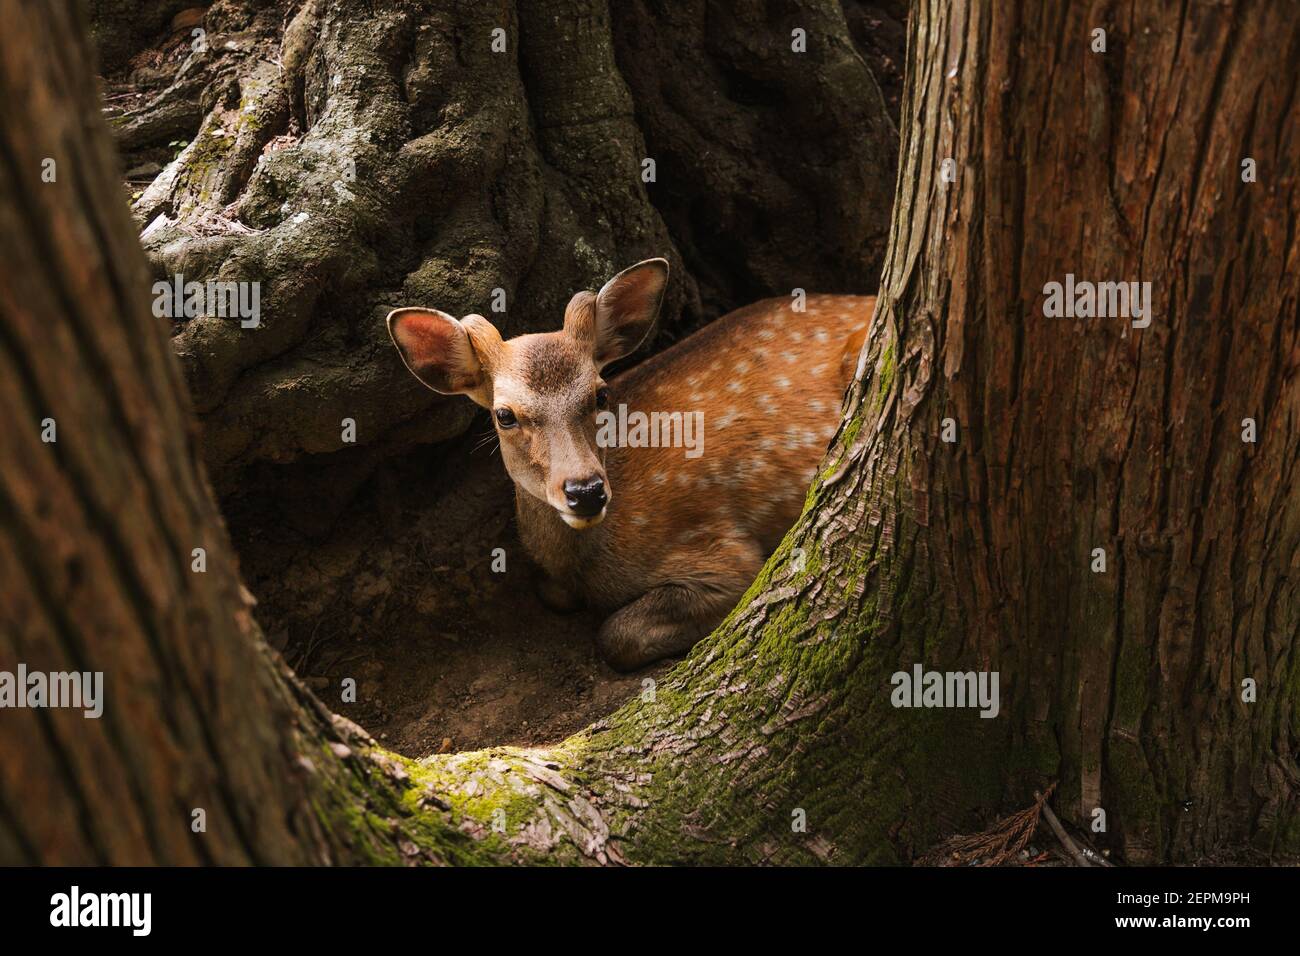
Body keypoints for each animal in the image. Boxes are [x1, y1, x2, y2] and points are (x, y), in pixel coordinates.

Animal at [387, 259, 874, 670]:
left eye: (601, 393)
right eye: (504, 415)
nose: (585, 491)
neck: (589, 563)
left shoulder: (727, 557)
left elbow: (616, 636)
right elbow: (553, 593)